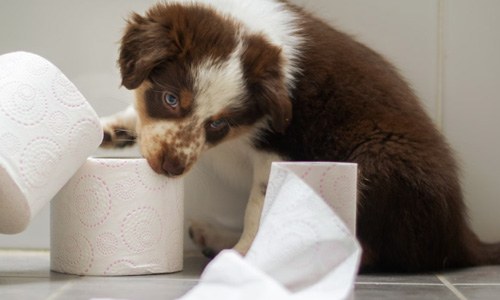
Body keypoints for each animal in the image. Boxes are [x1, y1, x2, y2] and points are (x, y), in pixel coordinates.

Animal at [101, 0, 500, 272]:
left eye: (219, 124)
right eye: (171, 99)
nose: (169, 168)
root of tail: (461, 237)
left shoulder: (280, 150)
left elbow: (258, 207)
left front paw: (245, 255)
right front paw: (109, 128)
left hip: (378, 163)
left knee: (379, 250)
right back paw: (213, 237)